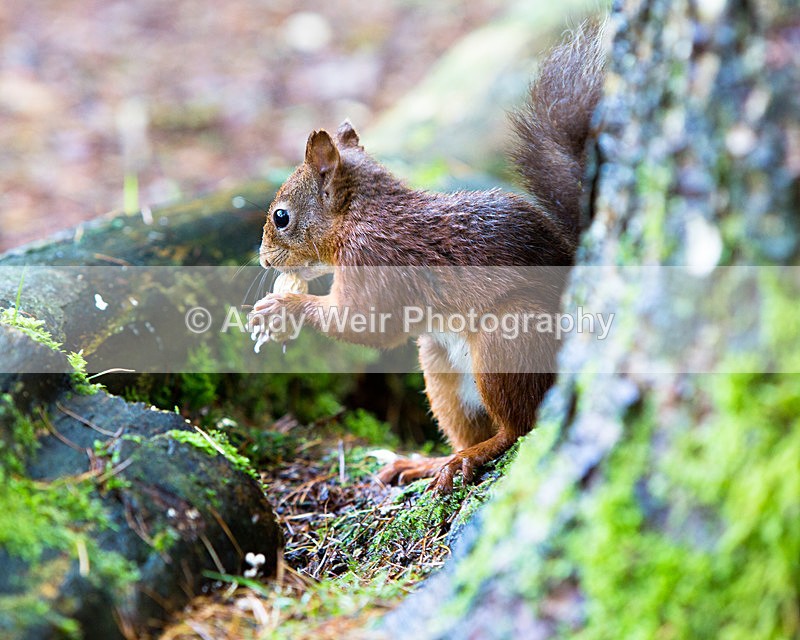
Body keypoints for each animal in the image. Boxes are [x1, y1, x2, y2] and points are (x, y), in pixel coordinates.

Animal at [251, 23, 605, 493]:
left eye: (281, 216)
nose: (264, 261)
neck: (361, 216)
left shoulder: (374, 263)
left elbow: (364, 323)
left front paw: (283, 307)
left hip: (509, 336)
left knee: (519, 427)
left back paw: (470, 457)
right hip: (438, 365)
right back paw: (427, 461)